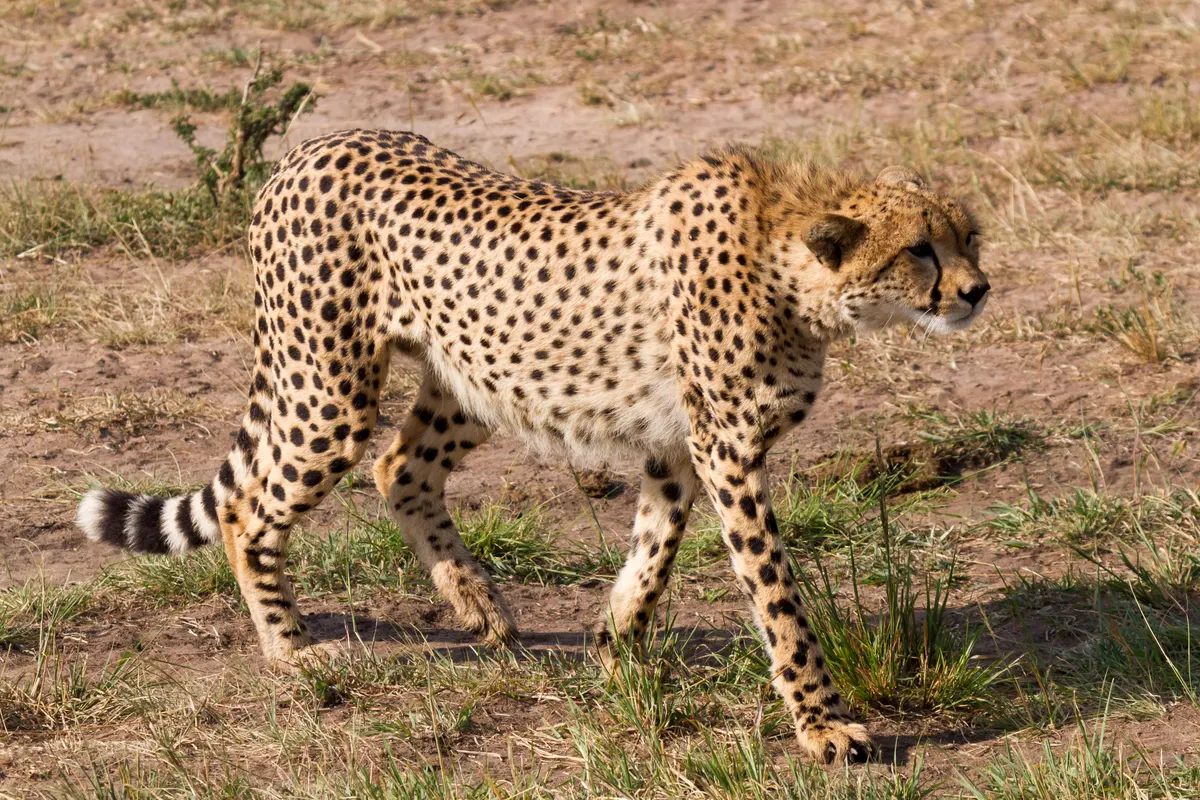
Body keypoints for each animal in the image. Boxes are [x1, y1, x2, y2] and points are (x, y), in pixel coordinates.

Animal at [77, 129, 989, 764]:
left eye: (969, 238)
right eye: (919, 250)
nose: (978, 290)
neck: (787, 262)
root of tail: (306, 150)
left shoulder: (675, 448)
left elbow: (653, 552)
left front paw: (615, 650)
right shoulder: (727, 451)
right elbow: (777, 597)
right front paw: (824, 726)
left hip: (476, 376)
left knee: (398, 468)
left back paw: (477, 603)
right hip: (329, 389)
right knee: (247, 508)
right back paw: (290, 649)